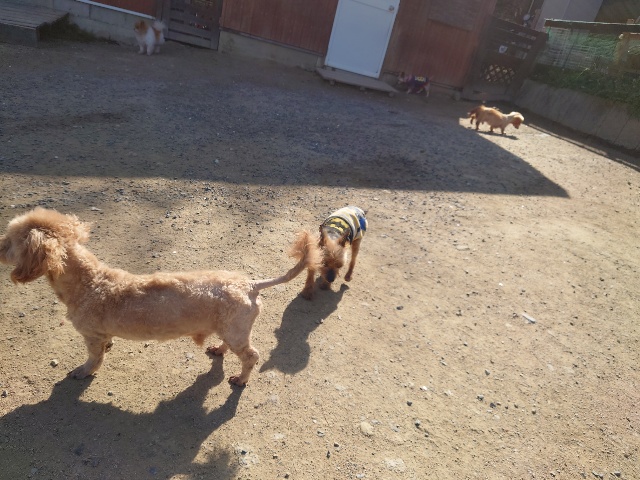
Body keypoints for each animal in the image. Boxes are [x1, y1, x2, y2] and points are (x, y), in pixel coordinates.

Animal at [0, 208, 321, 386]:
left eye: (9, 241)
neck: (88, 282)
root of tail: (250, 284)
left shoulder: (90, 335)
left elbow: (93, 359)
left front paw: (84, 372)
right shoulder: (100, 333)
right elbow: (105, 347)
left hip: (236, 329)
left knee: (251, 356)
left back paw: (240, 380)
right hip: (229, 327)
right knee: (231, 346)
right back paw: (218, 351)